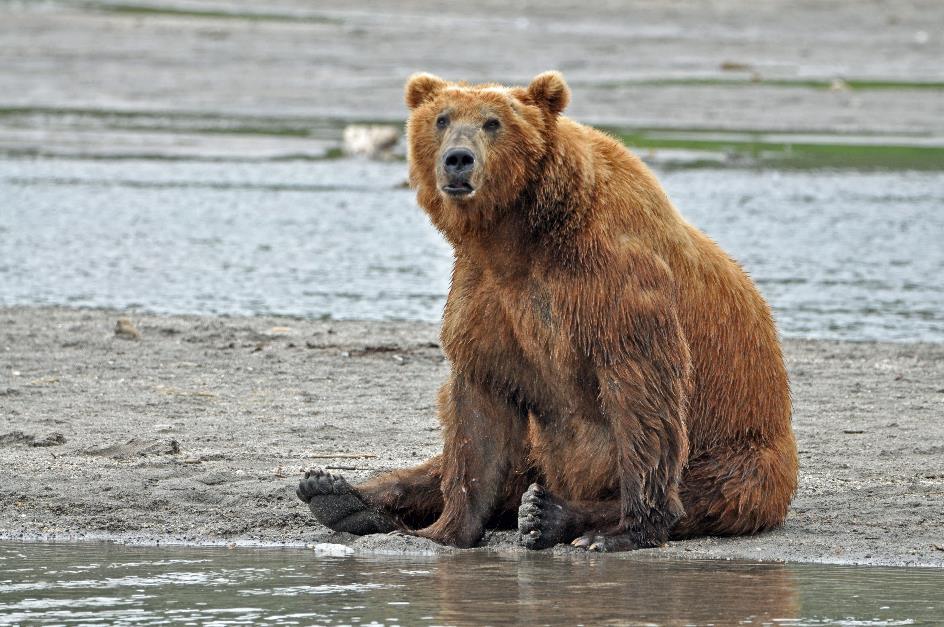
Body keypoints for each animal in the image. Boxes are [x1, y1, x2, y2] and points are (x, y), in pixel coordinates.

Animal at [296, 72, 796, 548]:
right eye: (441, 119)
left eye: (493, 122)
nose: (458, 158)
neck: (522, 233)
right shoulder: (486, 292)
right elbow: (479, 409)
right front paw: (445, 530)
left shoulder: (614, 280)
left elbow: (641, 391)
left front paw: (627, 530)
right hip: (542, 448)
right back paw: (337, 494)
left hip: (745, 450)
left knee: (715, 489)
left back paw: (553, 514)